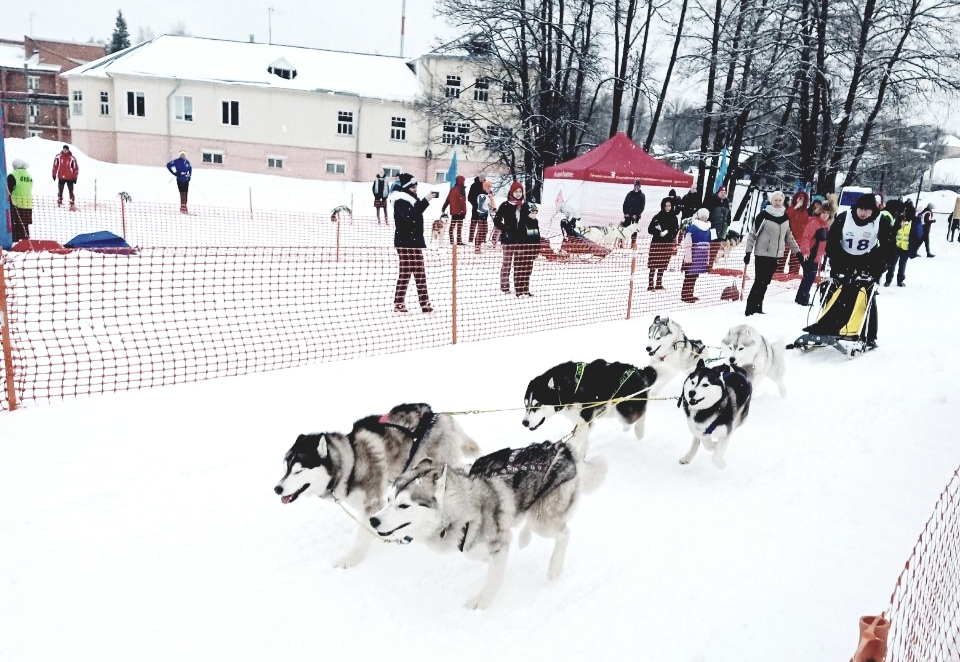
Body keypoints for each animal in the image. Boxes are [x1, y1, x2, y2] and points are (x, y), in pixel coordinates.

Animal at [274, 404, 480, 572]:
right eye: (285, 469)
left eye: (298, 471)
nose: (277, 489)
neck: (352, 462)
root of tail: (440, 415)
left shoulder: (371, 503)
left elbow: (362, 535)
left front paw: (350, 558)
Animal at [370, 444, 604, 608]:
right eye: (388, 499)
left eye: (403, 505)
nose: (373, 520)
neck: (462, 509)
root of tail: (565, 449)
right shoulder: (479, 545)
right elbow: (482, 557)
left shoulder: (499, 542)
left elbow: (493, 578)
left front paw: (481, 602)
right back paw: (524, 538)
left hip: (543, 522)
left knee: (564, 532)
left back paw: (554, 568)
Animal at [516, 358, 660, 462]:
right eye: (526, 405)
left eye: (537, 404)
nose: (524, 423)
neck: (570, 388)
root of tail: (640, 372)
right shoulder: (582, 422)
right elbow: (582, 441)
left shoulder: (584, 420)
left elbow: (573, 442)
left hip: (622, 408)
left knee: (637, 415)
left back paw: (639, 430)